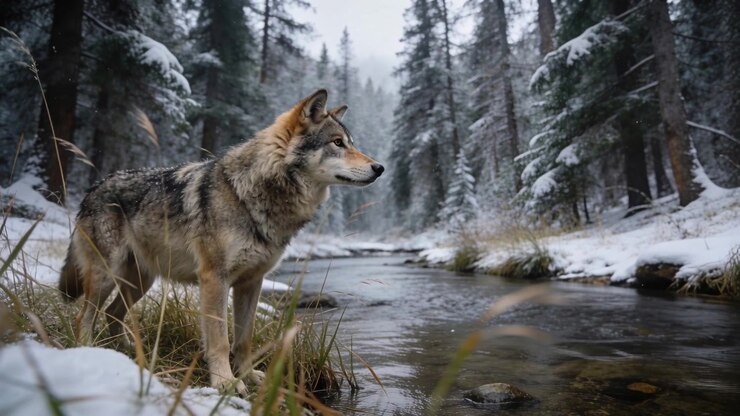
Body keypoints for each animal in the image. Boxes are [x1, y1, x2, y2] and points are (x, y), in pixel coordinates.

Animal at [58, 89, 383, 395]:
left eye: (351, 142)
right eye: (337, 143)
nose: (379, 168)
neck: (253, 194)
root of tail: (94, 188)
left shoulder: (251, 283)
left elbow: (244, 339)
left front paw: (248, 376)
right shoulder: (215, 279)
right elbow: (219, 339)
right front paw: (225, 383)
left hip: (140, 282)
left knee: (112, 315)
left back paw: (127, 352)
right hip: (106, 275)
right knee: (84, 316)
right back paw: (90, 350)